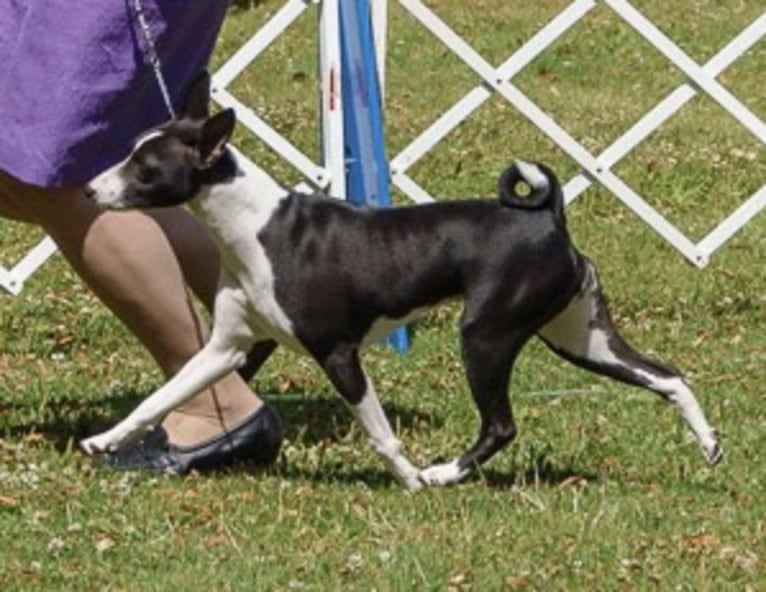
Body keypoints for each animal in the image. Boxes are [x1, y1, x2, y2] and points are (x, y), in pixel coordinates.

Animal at [81, 75, 724, 490]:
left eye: (145, 168)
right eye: (130, 152)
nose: (87, 189)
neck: (255, 228)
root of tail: (548, 216)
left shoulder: (338, 354)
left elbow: (381, 433)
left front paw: (410, 479)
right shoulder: (230, 347)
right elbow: (161, 397)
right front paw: (107, 440)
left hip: (486, 335)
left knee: (501, 424)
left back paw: (442, 474)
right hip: (579, 337)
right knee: (668, 375)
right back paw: (710, 444)